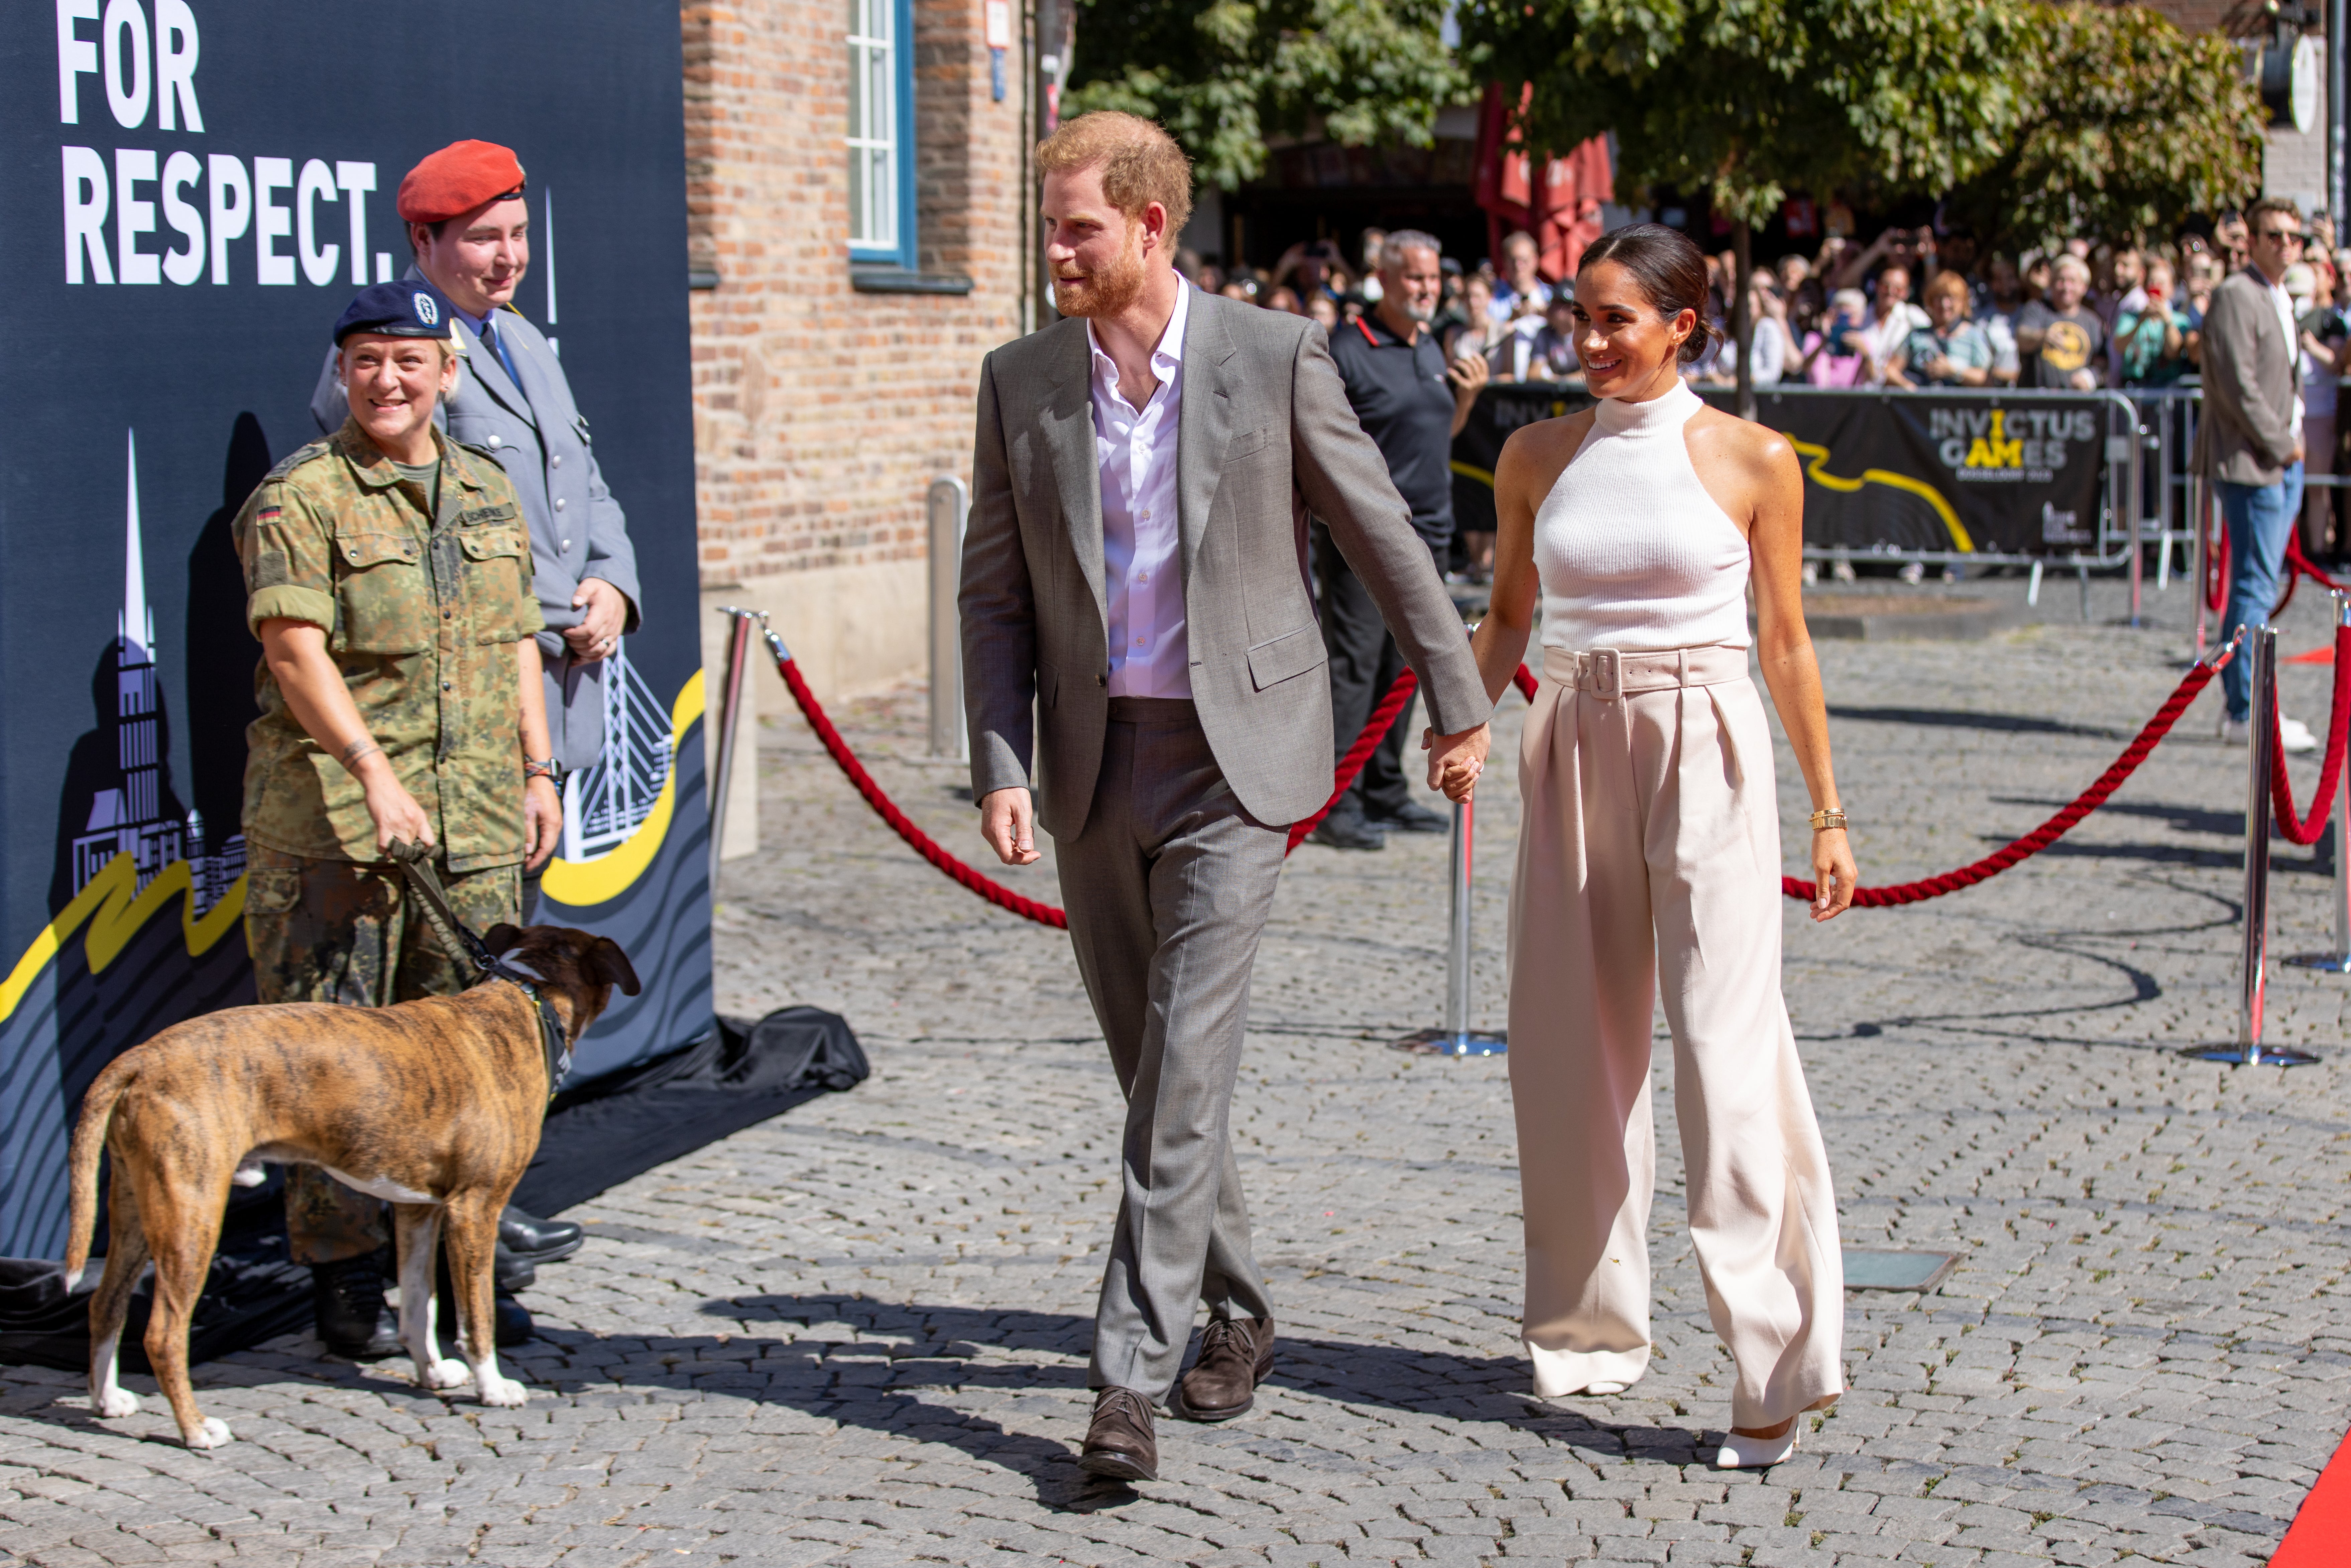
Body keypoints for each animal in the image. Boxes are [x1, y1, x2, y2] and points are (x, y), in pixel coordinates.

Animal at [67, 926, 634, 1457]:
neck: (527, 996)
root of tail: (142, 1056)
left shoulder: (417, 1209)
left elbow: (418, 1306)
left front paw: (432, 1372)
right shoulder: (474, 1209)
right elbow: (477, 1318)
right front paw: (492, 1386)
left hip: (135, 1208)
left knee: (104, 1305)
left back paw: (107, 1399)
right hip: (193, 1213)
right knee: (163, 1334)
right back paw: (196, 1430)